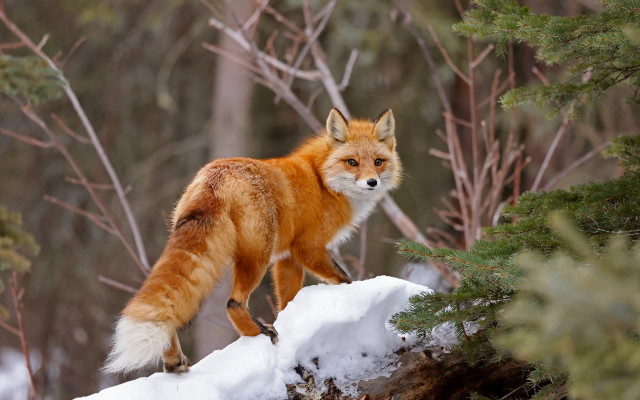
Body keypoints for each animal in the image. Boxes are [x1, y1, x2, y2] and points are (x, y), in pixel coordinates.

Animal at [104, 108, 401, 374]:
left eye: (378, 161)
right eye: (352, 162)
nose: (372, 182)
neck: (322, 181)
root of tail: (216, 175)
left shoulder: (287, 258)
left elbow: (287, 303)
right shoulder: (307, 248)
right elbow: (344, 279)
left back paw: (174, 362)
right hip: (258, 256)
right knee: (233, 303)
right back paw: (261, 333)